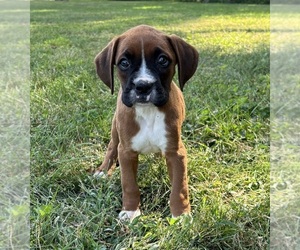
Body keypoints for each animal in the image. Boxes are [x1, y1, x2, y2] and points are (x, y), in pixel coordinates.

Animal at [92, 24, 198, 221]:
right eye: (124, 63)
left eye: (162, 60)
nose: (143, 86)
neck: (148, 112)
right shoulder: (126, 152)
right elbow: (129, 184)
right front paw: (130, 211)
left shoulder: (176, 153)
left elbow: (179, 188)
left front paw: (180, 215)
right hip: (115, 129)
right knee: (111, 146)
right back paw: (103, 170)